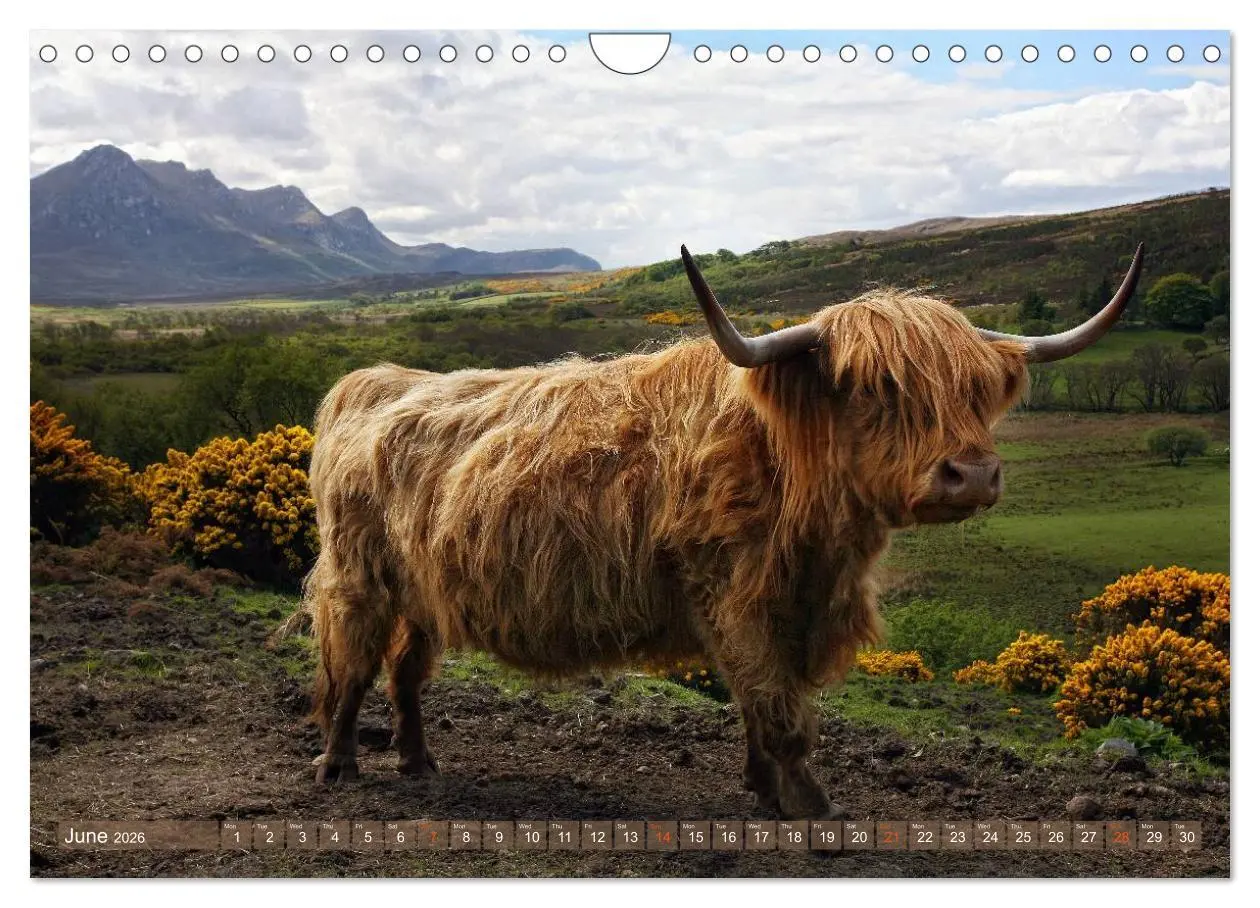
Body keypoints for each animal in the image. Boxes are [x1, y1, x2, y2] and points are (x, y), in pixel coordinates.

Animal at [305, 243, 1144, 818]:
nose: (970, 474)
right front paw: (809, 802)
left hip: (423, 590)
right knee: (352, 667)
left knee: (406, 672)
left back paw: (419, 761)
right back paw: (338, 764)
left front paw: (764, 789)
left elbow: (759, 702)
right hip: (359, 577)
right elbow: (776, 704)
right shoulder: (735, 597)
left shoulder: (788, 604)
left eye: (976, 389)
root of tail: (377, 381)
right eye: (877, 388)